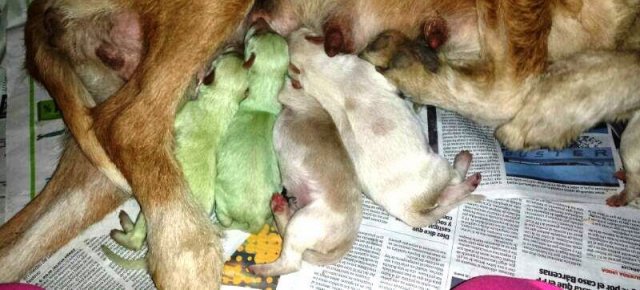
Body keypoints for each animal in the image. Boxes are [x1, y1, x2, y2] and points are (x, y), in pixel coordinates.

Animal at [101, 51, 249, 268]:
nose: (237, 49)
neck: (222, 100)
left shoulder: (183, 113)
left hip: (149, 213)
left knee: (137, 240)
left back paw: (122, 228)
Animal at [214, 20, 288, 233]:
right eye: (269, 30)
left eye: (250, 37)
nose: (258, 19)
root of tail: (252, 219)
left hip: (221, 202)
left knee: (225, 220)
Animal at [248, 80, 362, 276]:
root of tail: (347, 240)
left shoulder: (290, 94)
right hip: (298, 216)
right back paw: (279, 207)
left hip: (301, 224)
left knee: (291, 263)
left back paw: (260, 269)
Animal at [288, 28, 482, 229]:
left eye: (301, 30)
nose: (295, 30)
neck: (313, 69)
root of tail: (407, 211)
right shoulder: (374, 72)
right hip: (440, 168)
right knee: (455, 179)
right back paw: (466, 166)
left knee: (445, 198)